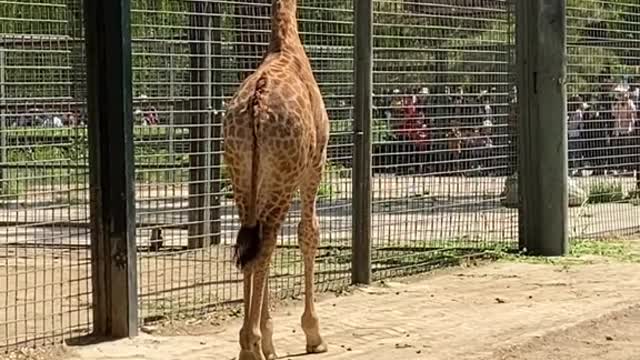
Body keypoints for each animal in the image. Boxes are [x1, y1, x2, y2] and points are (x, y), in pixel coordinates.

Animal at [221, 1, 330, 358]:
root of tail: (256, 107)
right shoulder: (316, 164)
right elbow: (309, 233)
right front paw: (313, 334)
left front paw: (269, 338)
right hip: (285, 175)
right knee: (267, 243)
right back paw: (252, 344)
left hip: (241, 174)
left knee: (250, 245)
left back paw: (249, 343)